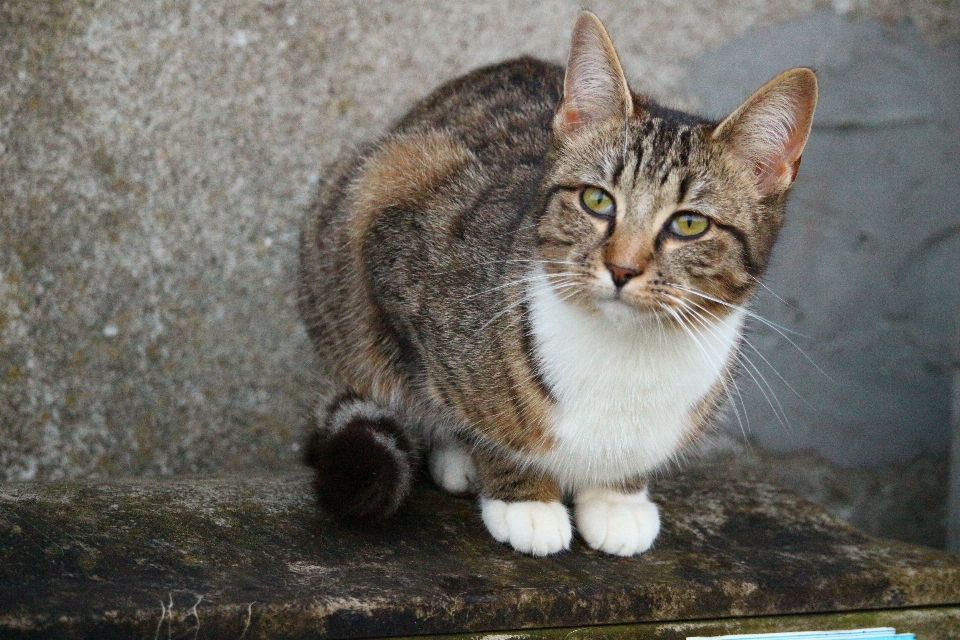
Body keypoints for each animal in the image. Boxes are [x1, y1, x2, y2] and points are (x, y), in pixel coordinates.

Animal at [300, 12, 816, 556]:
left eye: (689, 224)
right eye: (597, 200)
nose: (622, 268)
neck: (626, 352)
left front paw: (617, 498)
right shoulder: (396, 235)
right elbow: (467, 412)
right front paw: (523, 496)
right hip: (356, 201)